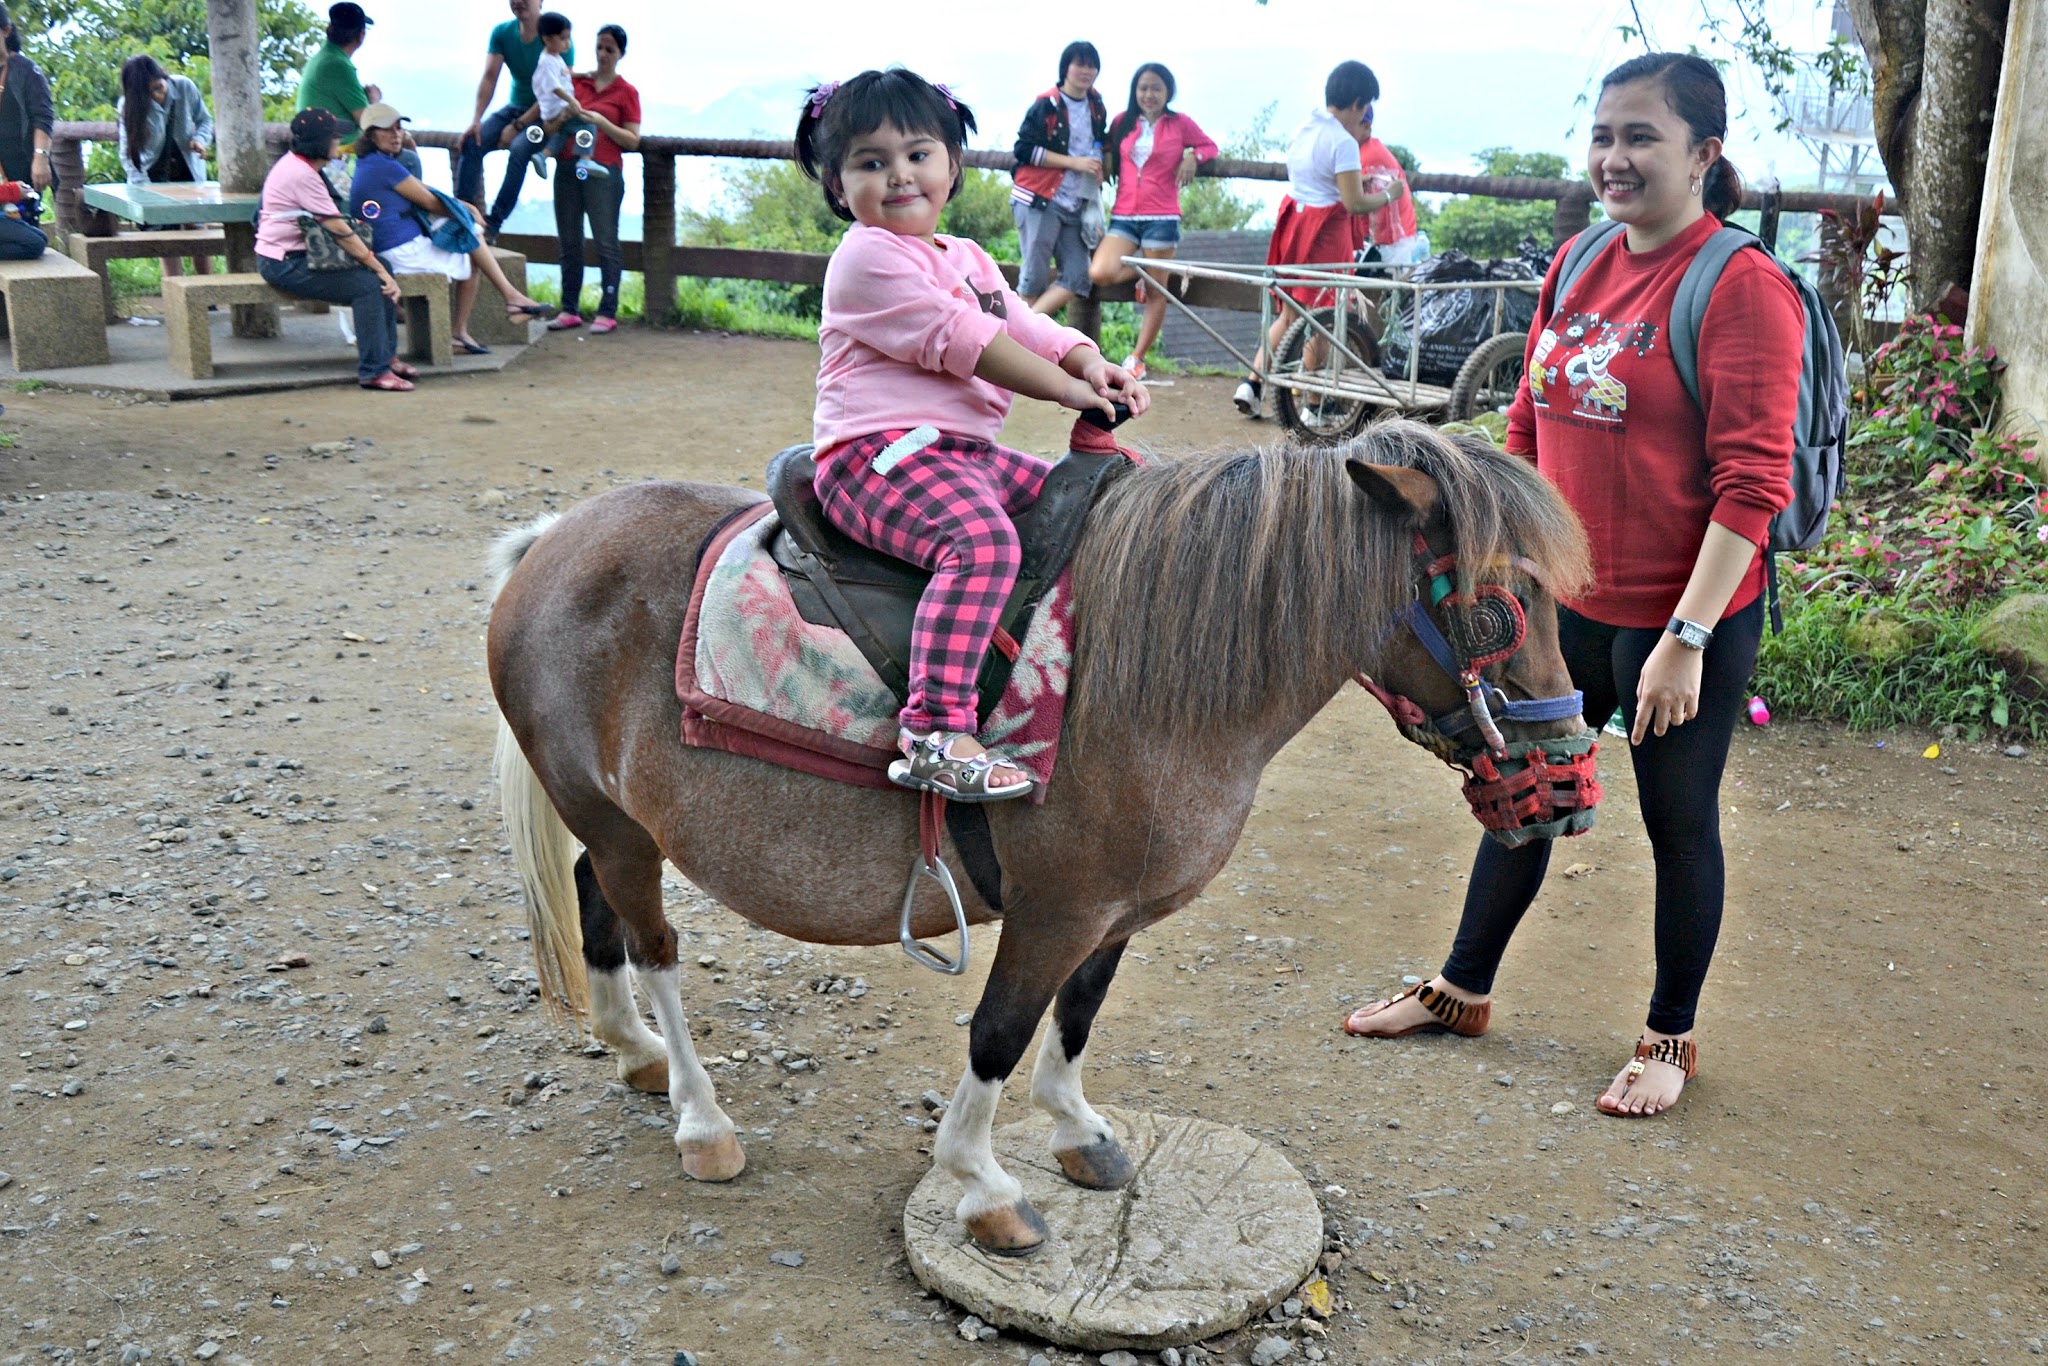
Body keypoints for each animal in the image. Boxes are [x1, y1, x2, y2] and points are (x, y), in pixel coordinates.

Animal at [487, 419, 1589, 1261]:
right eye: (1501, 604)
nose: (1570, 786)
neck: (1139, 677)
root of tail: (549, 540)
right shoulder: (1052, 910)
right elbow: (998, 1033)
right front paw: (982, 1185)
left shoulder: (1113, 914)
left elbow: (1077, 1018)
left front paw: (1078, 1131)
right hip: (619, 825)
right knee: (653, 946)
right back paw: (700, 1116)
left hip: (620, 823)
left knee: (595, 898)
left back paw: (632, 1049)